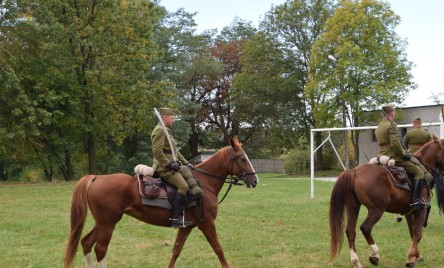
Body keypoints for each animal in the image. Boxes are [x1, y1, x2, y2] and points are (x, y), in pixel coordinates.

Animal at [64, 136, 258, 268]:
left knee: (86, 243)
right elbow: (218, 249)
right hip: (108, 224)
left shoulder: (187, 226)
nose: (254, 180)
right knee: (100, 249)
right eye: (242, 159)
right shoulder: (207, 224)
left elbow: (176, 251)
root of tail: (96, 178)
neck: (204, 182)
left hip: (103, 223)